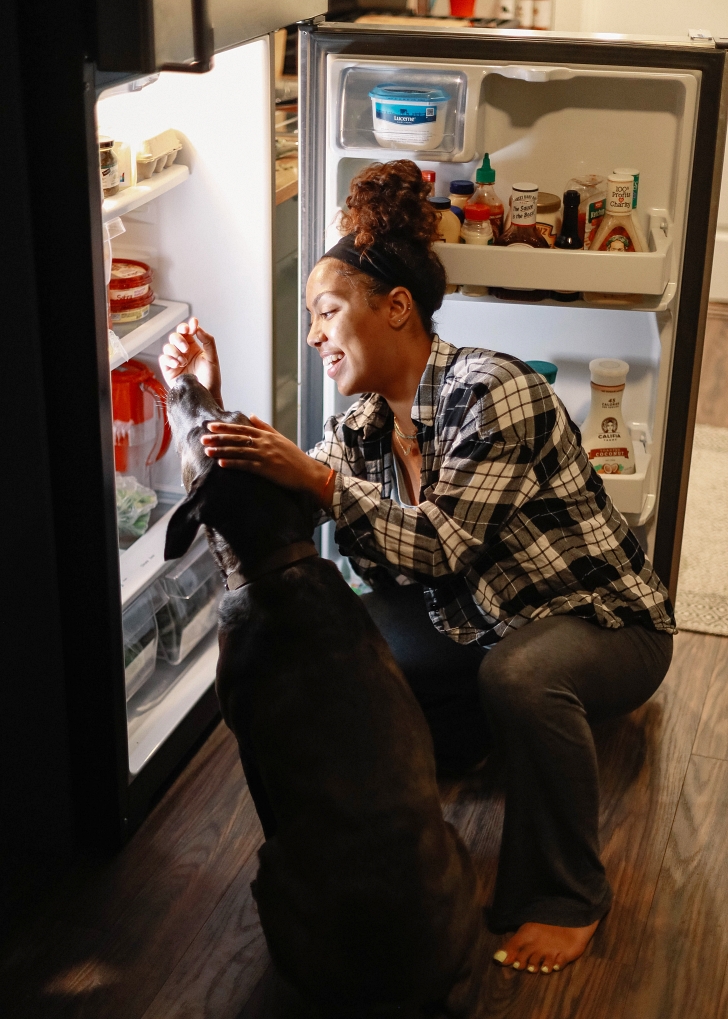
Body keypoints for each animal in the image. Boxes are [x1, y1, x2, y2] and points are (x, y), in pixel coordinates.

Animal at [162, 377, 485, 1019]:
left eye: (205, 427)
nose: (184, 380)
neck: (272, 563)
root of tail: (407, 997)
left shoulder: (247, 743)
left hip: (270, 872)